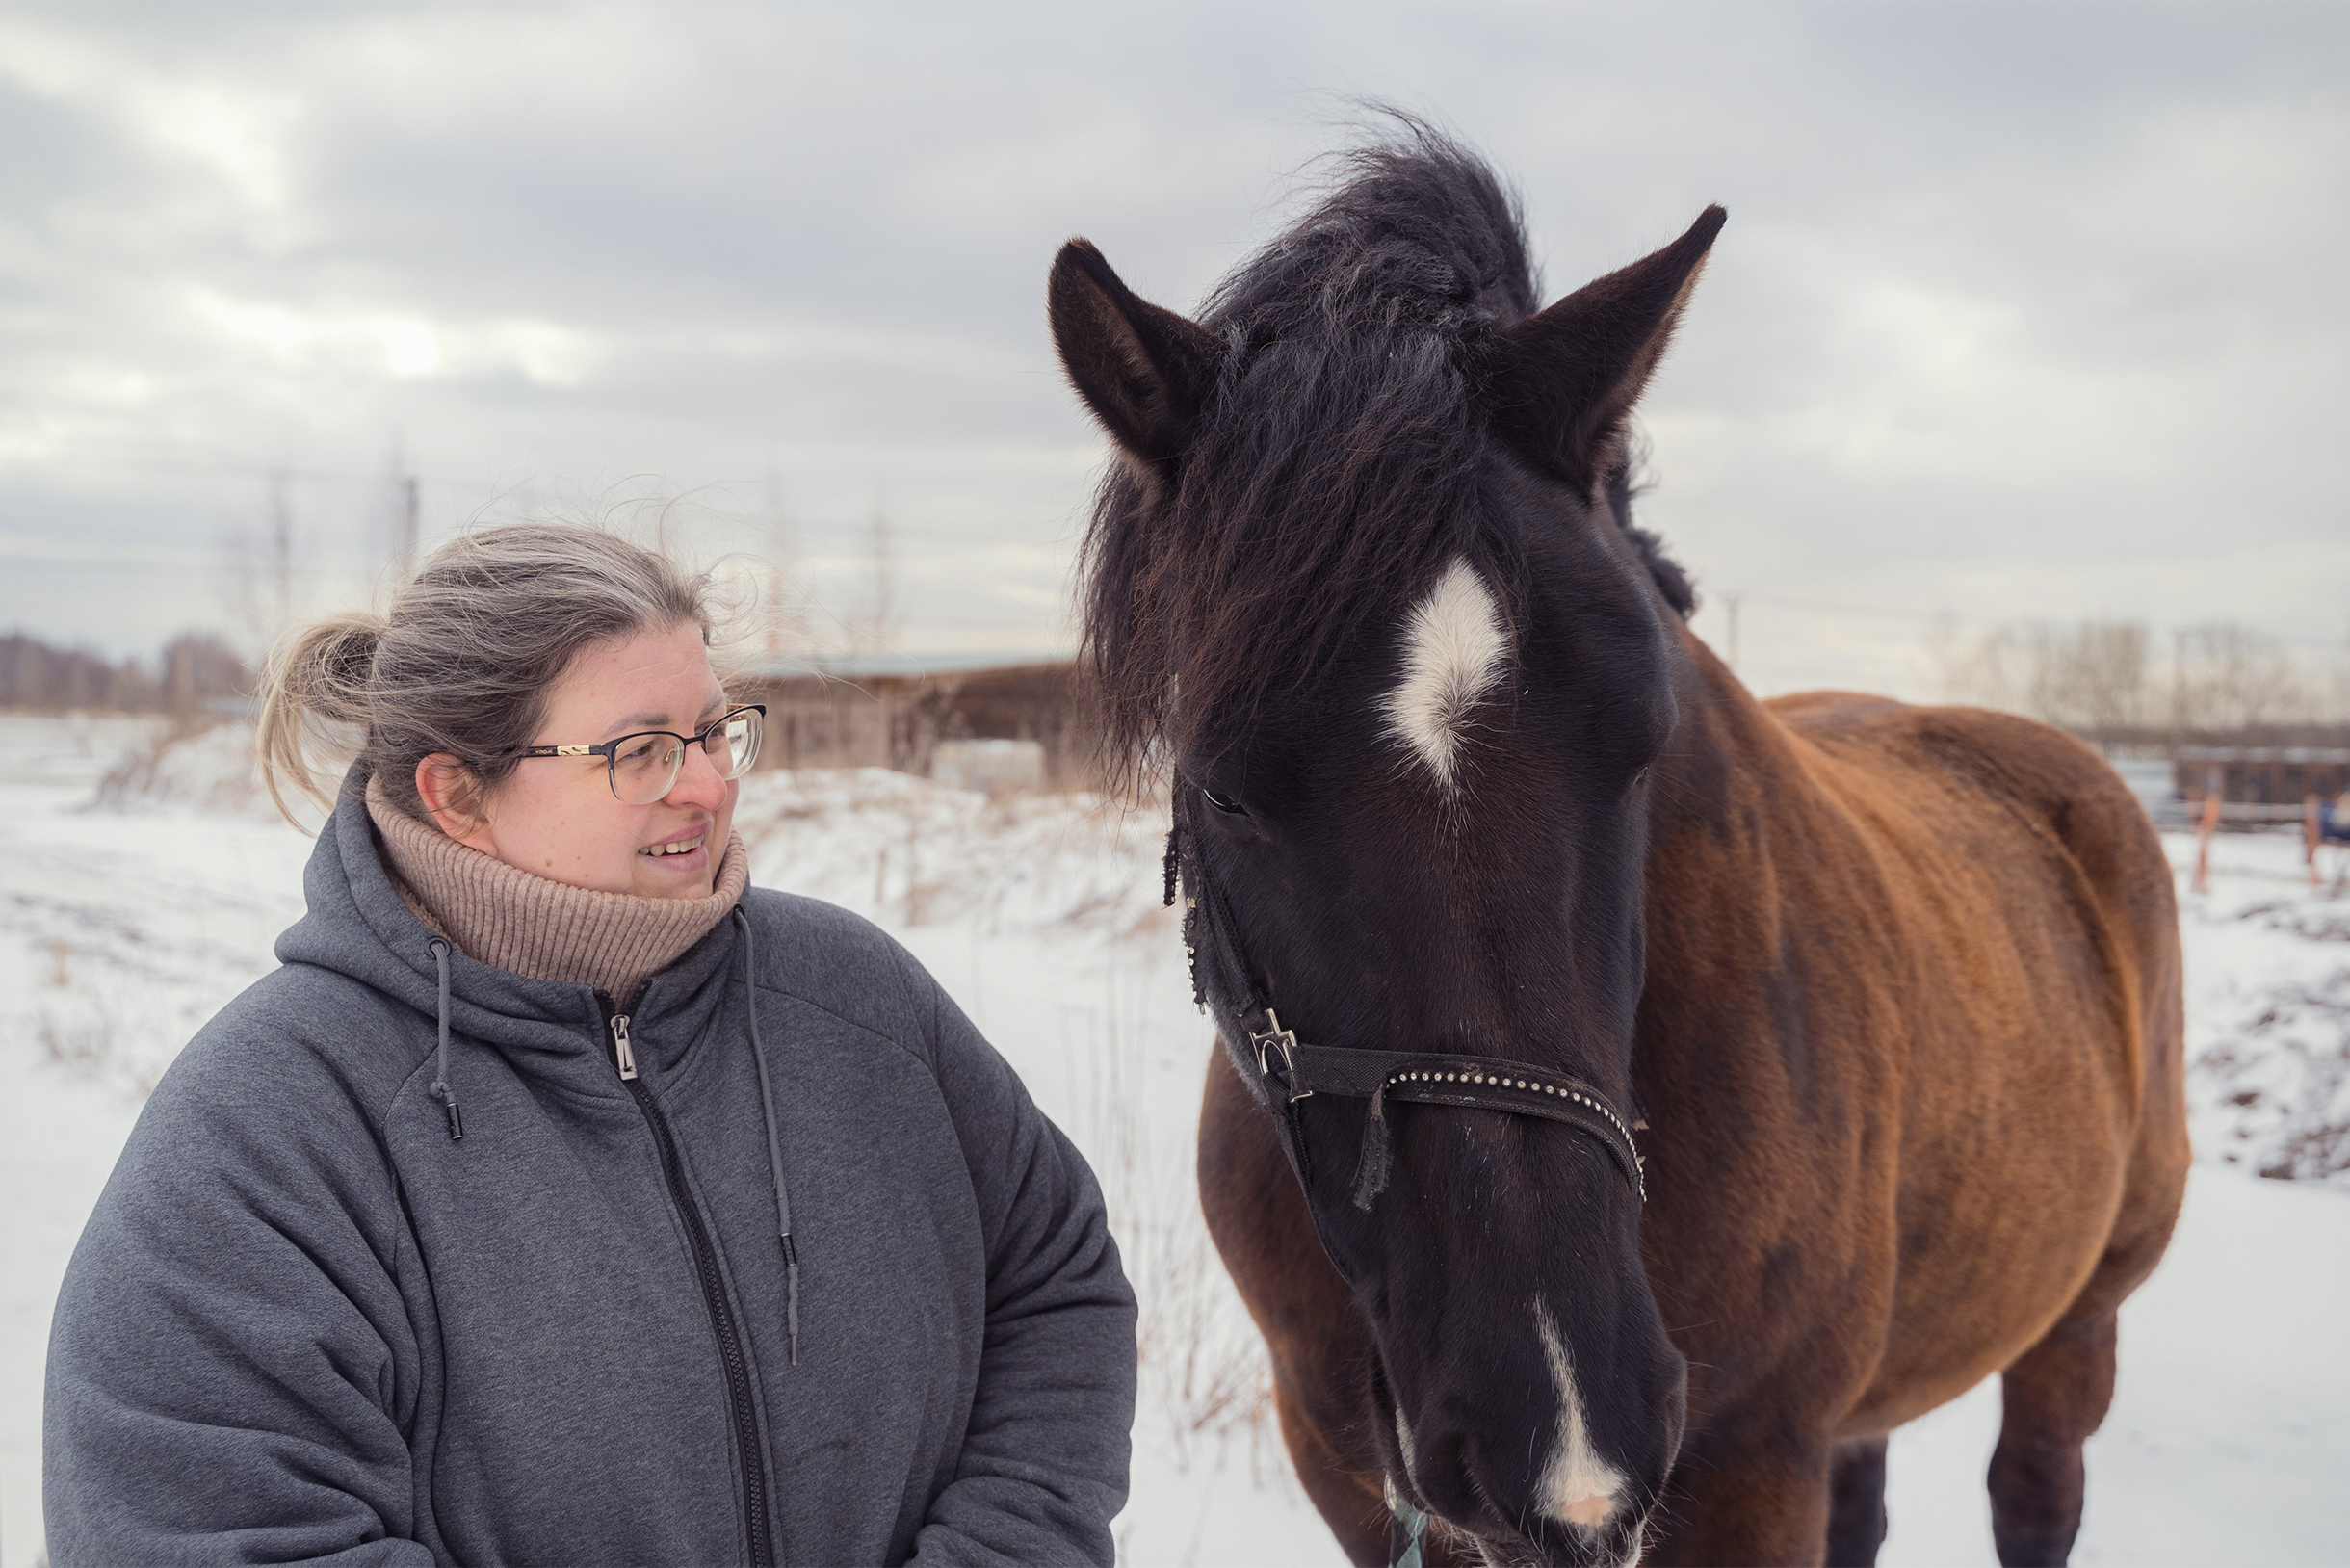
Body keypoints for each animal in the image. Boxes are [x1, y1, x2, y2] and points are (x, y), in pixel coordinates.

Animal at [1048, 125, 2180, 1568]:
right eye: (1226, 787)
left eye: (1642, 741)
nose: (1561, 1428)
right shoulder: (1343, 1467)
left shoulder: (1752, 1466)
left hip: (2077, 1323)